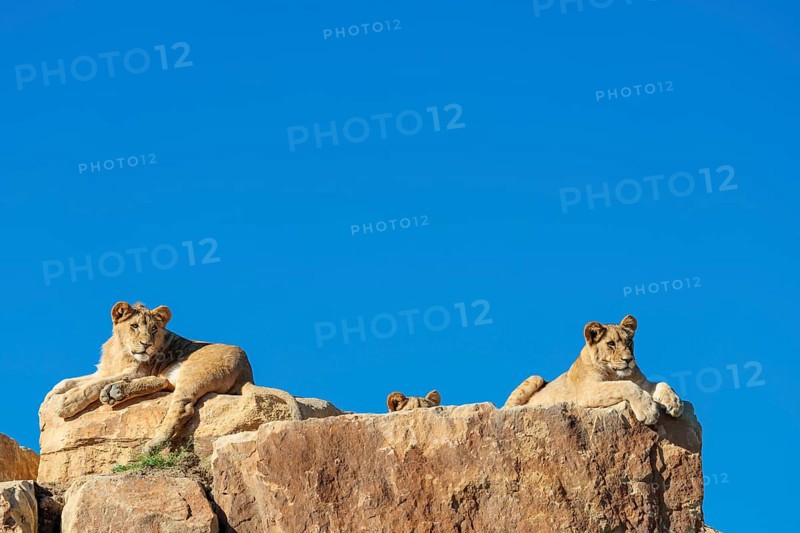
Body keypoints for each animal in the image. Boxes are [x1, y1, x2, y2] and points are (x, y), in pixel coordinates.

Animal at [45, 301, 254, 452]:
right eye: (134, 326)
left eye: (154, 329)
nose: (146, 344)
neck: (121, 350)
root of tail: (247, 370)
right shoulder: (105, 370)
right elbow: (72, 381)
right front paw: (52, 394)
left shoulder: (136, 371)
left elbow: (92, 386)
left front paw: (68, 402)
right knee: (162, 382)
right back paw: (116, 392)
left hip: (193, 373)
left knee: (182, 409)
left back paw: (152, 443)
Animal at [503, 315, 683, 425]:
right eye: (611, 344)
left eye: (629, 341)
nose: (628, 359)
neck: (615, 374)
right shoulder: (586, 391)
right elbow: (626, 386)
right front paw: (648, 410)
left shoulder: (642, 382)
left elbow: (662, 383)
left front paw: (674, 403)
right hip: (535, 377)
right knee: (505, 409)